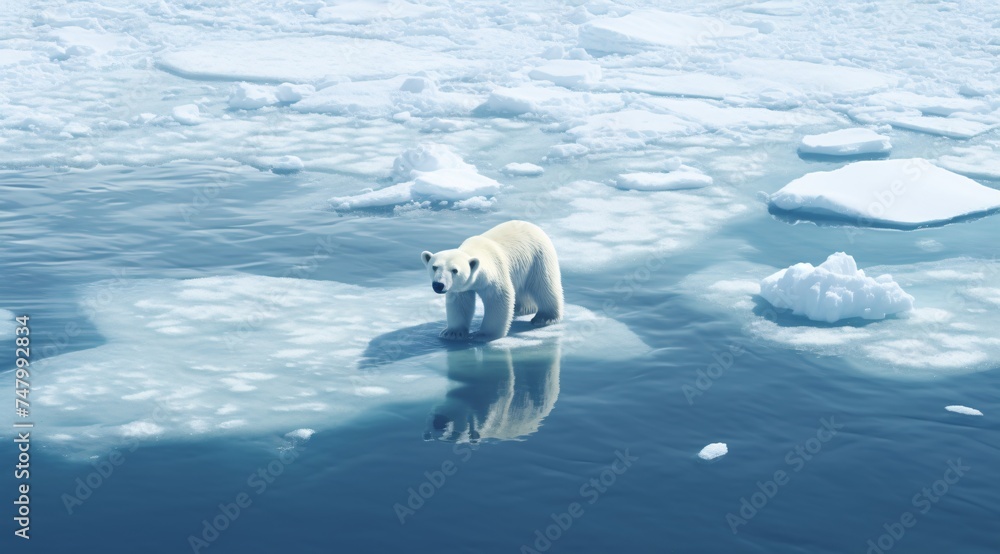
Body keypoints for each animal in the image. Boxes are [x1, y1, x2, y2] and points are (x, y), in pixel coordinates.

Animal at [421, 220, 563, 341]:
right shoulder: (462, 287)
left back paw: (544, 317)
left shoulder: (495, 273)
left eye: (454, 270)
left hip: (538, 257)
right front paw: (452, 333)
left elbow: (498, 299)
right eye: (434, 267)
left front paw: (483, 334)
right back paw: (522, 308)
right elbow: (460, 302)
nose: (438, 285)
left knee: (544, 285)